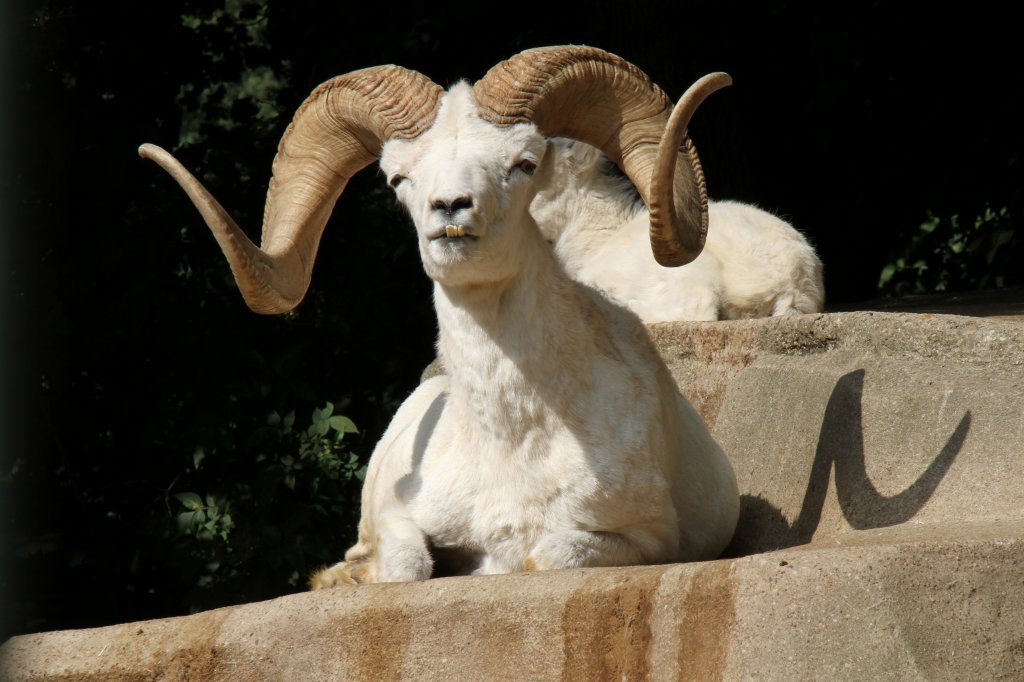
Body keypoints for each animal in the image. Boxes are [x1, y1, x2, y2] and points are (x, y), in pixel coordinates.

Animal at [140, 45, 741, 585]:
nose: (450, 209)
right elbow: (407, 565)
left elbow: (541, 554)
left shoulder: (648, 539)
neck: (513, 441)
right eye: (398, 178)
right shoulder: (397, 519)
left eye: (524, 164)